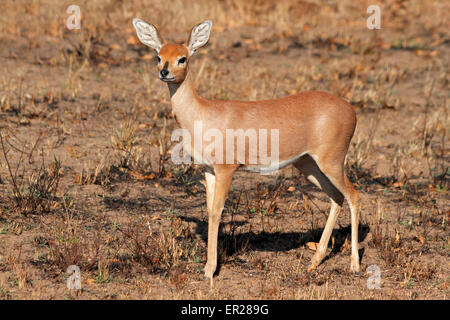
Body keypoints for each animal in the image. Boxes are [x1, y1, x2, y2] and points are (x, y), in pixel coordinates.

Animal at [132, 18, 360, 282]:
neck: (203, 114)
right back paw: (314, 262)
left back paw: (355, 265)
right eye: (158, 56)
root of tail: (350, 109)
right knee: (336, 197)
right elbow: (209, 211)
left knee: (354, 196)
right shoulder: (208, 171)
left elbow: (217, 211)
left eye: (182, 58)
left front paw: (210, 270)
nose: (164, 72)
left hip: (331, 162)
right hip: (308, 164)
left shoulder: (226, 169)